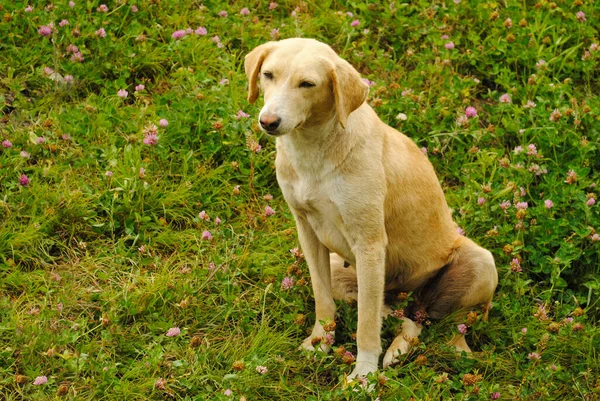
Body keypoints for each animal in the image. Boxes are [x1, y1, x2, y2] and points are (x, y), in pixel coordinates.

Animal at [244, 37, 496, 378]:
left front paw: (363, 375)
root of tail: (410, 296)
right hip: (349, 274)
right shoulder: (307, 231)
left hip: (480, 265)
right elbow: (323, 301)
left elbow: (365, 325)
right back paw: (399, 349)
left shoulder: (369, 243)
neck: (315, 149)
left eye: (307, 84)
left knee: (447, 326)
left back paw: (437, 353)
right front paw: (319, 344)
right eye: (268, 75)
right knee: (404, 318)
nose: (268, 122)